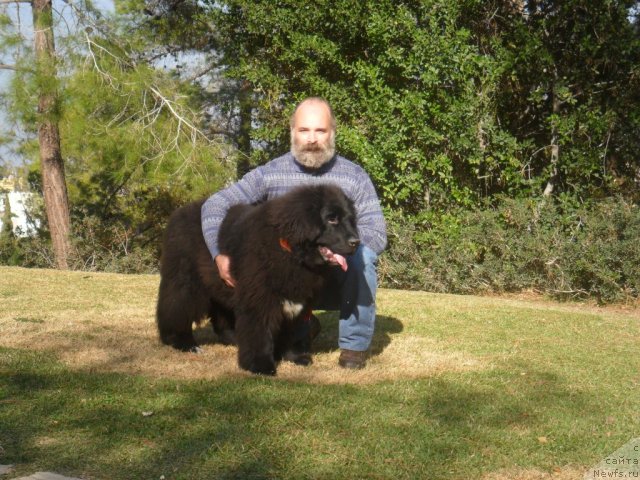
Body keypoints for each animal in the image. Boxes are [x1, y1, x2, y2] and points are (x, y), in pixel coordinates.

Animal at [156, 184, 360, 376]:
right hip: (186, 282)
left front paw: (293, 356)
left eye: (350, 219)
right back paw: (182, 342)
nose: (356, 242)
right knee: (176, 308)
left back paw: (232, 338)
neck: (290, 251)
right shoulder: (258, 298)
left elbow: (291, 331)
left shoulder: (295, 299)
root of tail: (179, 212)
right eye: (331, 219)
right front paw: (260, 365)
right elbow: (259, 332)